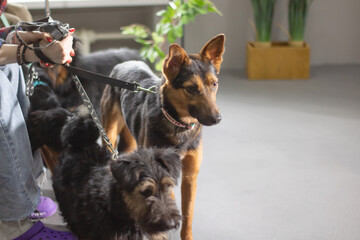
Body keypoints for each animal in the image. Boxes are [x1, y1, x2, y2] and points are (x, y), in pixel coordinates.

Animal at [101, 34, 225, 240]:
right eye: (191, 88)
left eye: (213, 84)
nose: (217, 119)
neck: (179, 125)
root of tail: (124, 63)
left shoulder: (190, 176)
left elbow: (188, 214)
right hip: (108, 131)